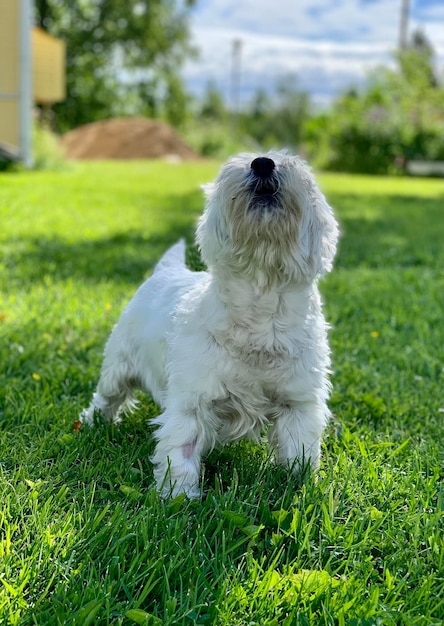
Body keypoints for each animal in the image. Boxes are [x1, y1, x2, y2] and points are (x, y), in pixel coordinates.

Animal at [80, 151, 338, 498]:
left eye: (303, 171)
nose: (263, 162)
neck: (261, 302)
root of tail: (166, 270)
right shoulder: (192, 400)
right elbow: (182, 450)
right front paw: (178, 498)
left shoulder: (298, 401)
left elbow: (300, 450)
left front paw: (300, 485)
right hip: (119, 363)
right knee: (106, 397)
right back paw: (94, 423)